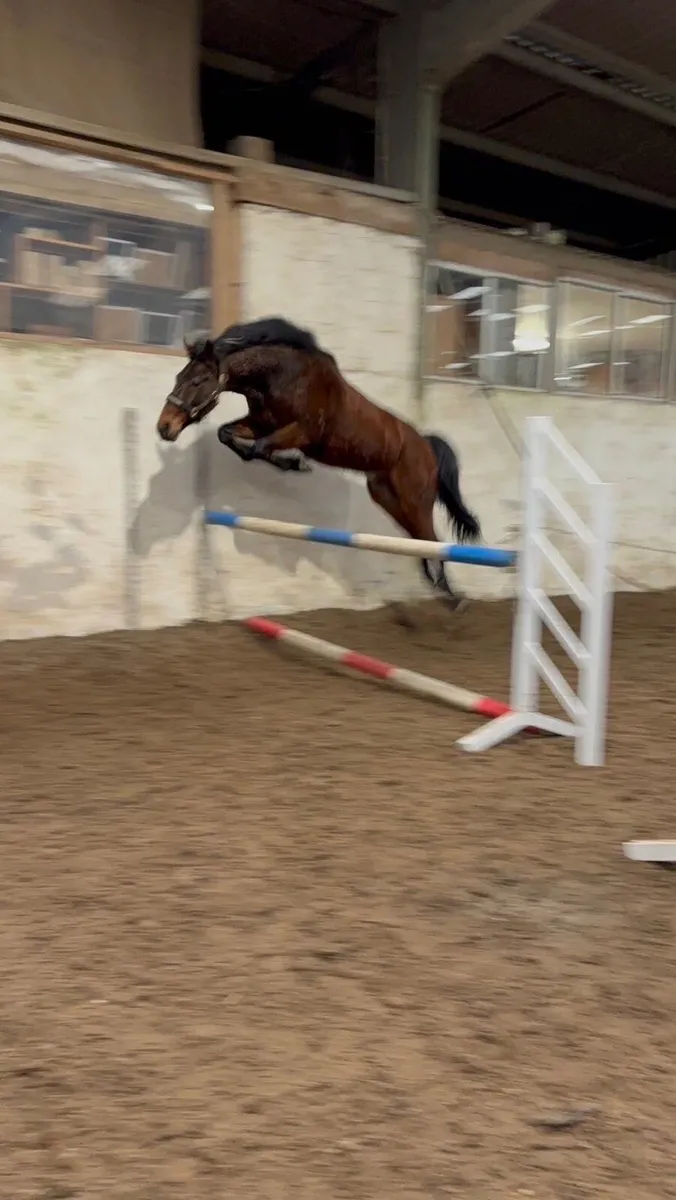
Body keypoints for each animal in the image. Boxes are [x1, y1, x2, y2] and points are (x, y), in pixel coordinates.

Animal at [156, 317, 481, 607]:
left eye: (197, 381)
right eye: (178, 378)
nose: (164, 428)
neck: (280, 375)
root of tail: (426, 444)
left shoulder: (301, 432)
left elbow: (259, 448)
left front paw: (295, 464)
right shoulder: (260, 423)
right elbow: (227, 434)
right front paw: (291, 464)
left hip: (414, 499)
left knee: (432, 538)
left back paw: (452, 597)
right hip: (387, 498)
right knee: (420, 540)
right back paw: (439, 588)